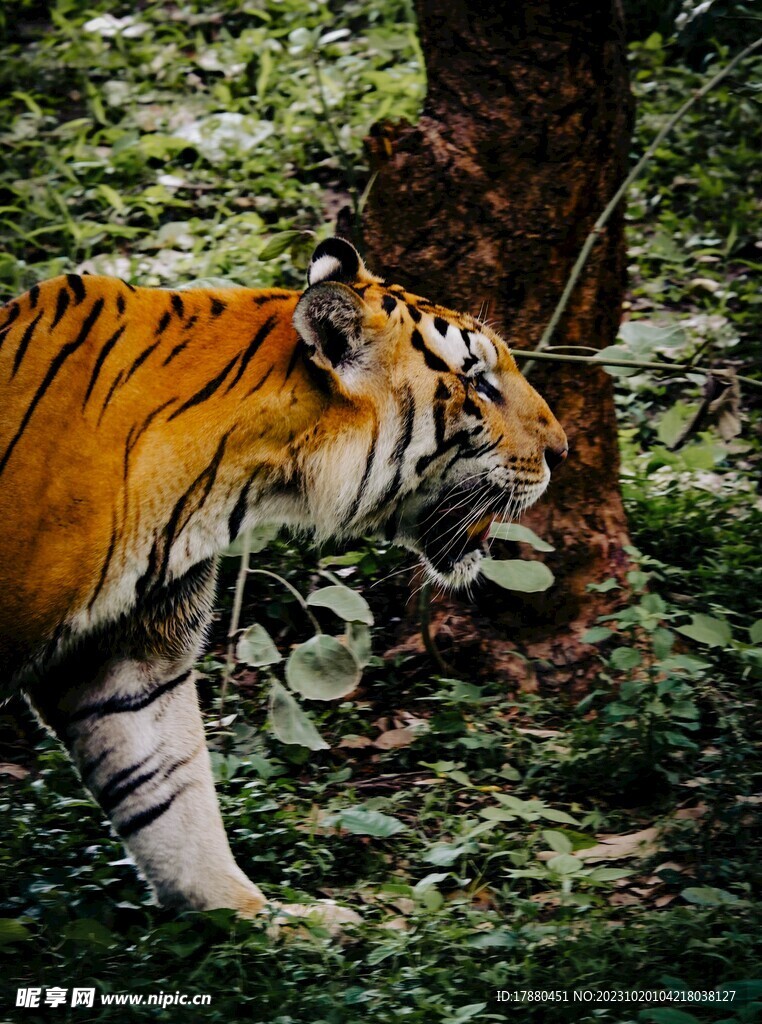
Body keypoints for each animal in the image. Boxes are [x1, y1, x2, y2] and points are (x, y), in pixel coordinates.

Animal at [0, 236, 566, 929]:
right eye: (478, 383)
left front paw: (255, 918)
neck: (233, 482)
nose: (564, 450)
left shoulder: (126, 659)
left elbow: (167, 793)